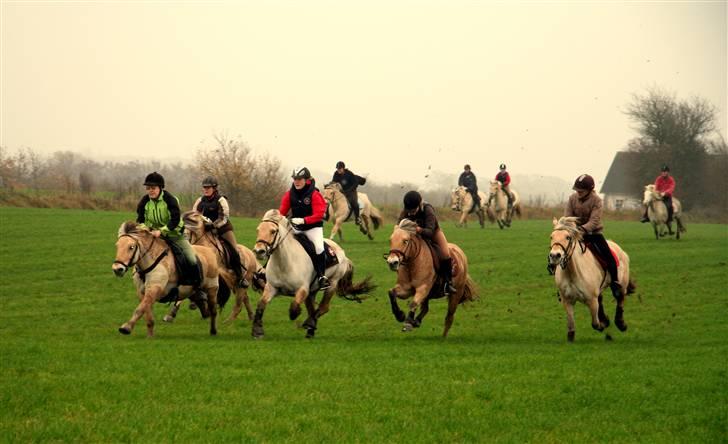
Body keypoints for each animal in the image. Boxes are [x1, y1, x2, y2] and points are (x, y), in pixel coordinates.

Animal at [252, 210, 376, 338]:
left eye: (273, 231)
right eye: (258, 230)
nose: (259, 251)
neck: (284, 263)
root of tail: (342, 252)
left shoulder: (303, 289)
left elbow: (294, 308)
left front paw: (299, 315)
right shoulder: (272, 287)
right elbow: (261, 305)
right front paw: (257, 331)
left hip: (332, 284)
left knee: (323, 307)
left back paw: (310, 323)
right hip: (312, 291)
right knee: (312, 309)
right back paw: (310, 331)